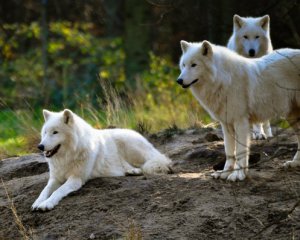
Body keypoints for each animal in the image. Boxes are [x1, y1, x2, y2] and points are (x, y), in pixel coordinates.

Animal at [32, 109, 171, 210]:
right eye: (45, 132)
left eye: (55, 132)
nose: (40, 146)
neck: (67, 157)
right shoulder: (55, 178)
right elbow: (45, 190)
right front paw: (37, 202)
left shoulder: (76, 179)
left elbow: (58, 191)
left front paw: (46, 204)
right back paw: (131, 171)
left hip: (130, 146)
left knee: (152, 163)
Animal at [177, 40, 300, 181]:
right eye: (183, 65)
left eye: (194, 65)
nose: (179, 80)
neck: (224, 79)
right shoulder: (226, 124)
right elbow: (229, 152)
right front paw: (224, 173)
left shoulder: (240, 122)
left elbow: (240, 151)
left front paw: (238, 175)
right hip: (291, 117)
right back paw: (295, 163)